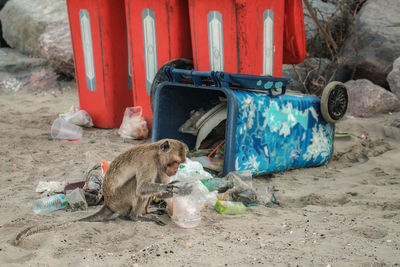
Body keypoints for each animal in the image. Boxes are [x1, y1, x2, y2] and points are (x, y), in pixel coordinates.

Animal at [14, 140, 190, 247]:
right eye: (175, 162)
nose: (175, 170)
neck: (156, 154)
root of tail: (108, 204)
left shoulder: (160, 167)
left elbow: (158, 192)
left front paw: (181, 190)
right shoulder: (148, 162)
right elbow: (140, 188)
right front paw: (171, 188)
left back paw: (145, 212)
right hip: (120, 199)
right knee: (135, 185)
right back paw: (136, 216)